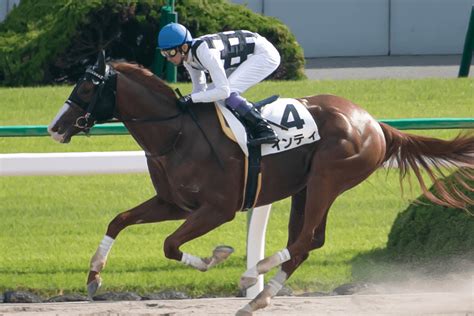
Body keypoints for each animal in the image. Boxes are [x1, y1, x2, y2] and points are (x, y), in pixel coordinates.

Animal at [49, 51, 474, 314]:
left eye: (86, 87)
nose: (55, 127)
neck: (176, 134)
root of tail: (374, 122)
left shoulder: (218, 208)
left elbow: (170, 245)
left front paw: (218, 256)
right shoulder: (174, 203)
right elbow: (119, 220)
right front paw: (93, 277)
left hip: (328, 178)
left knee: (302, 241)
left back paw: (254, 273)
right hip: (307, 187)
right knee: (309, 242)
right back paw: (258, 298)